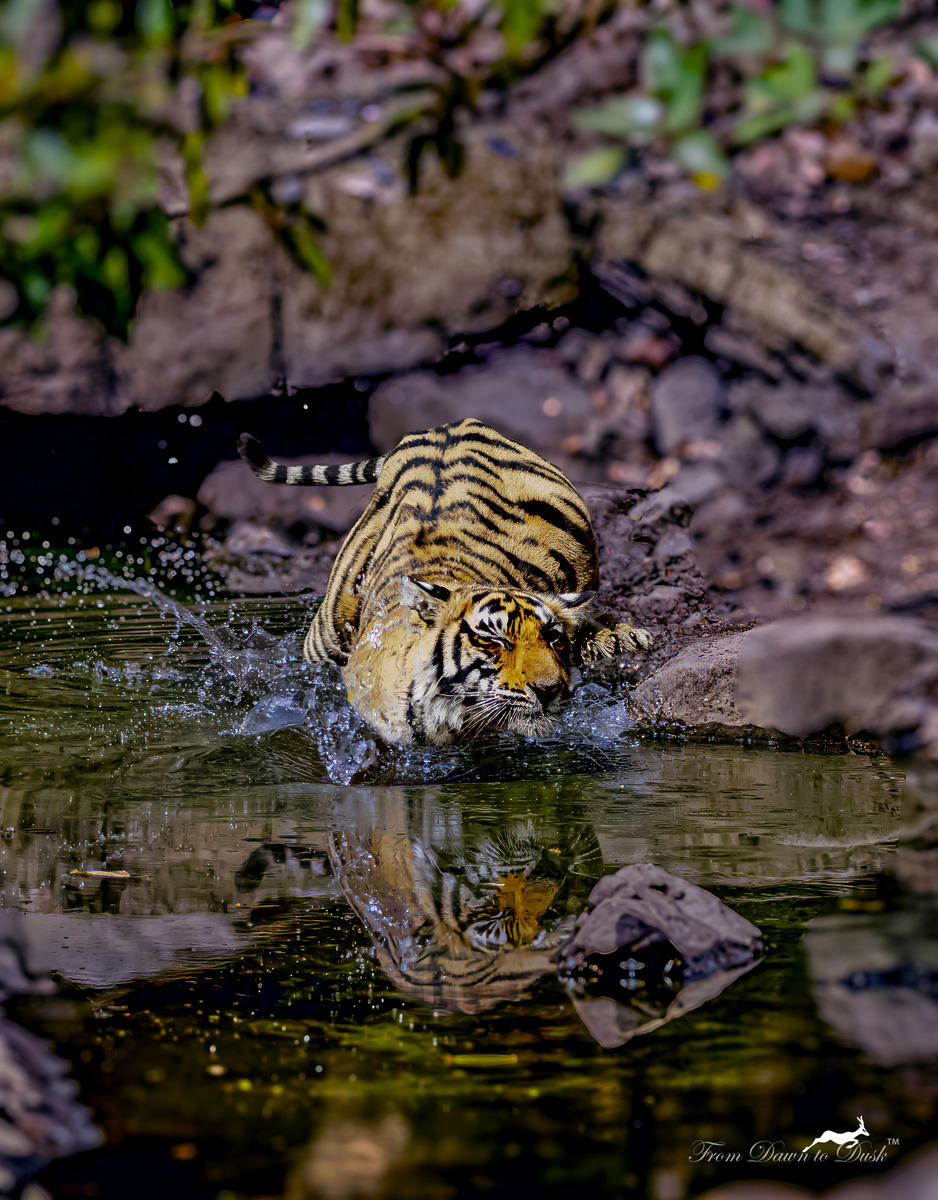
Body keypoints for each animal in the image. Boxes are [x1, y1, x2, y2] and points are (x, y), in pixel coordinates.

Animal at [238, 417, 651, 746]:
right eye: (496, 640)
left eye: (552, 639)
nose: (550, 691)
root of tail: (443, 427)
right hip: (326, 630)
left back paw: (618, 638)